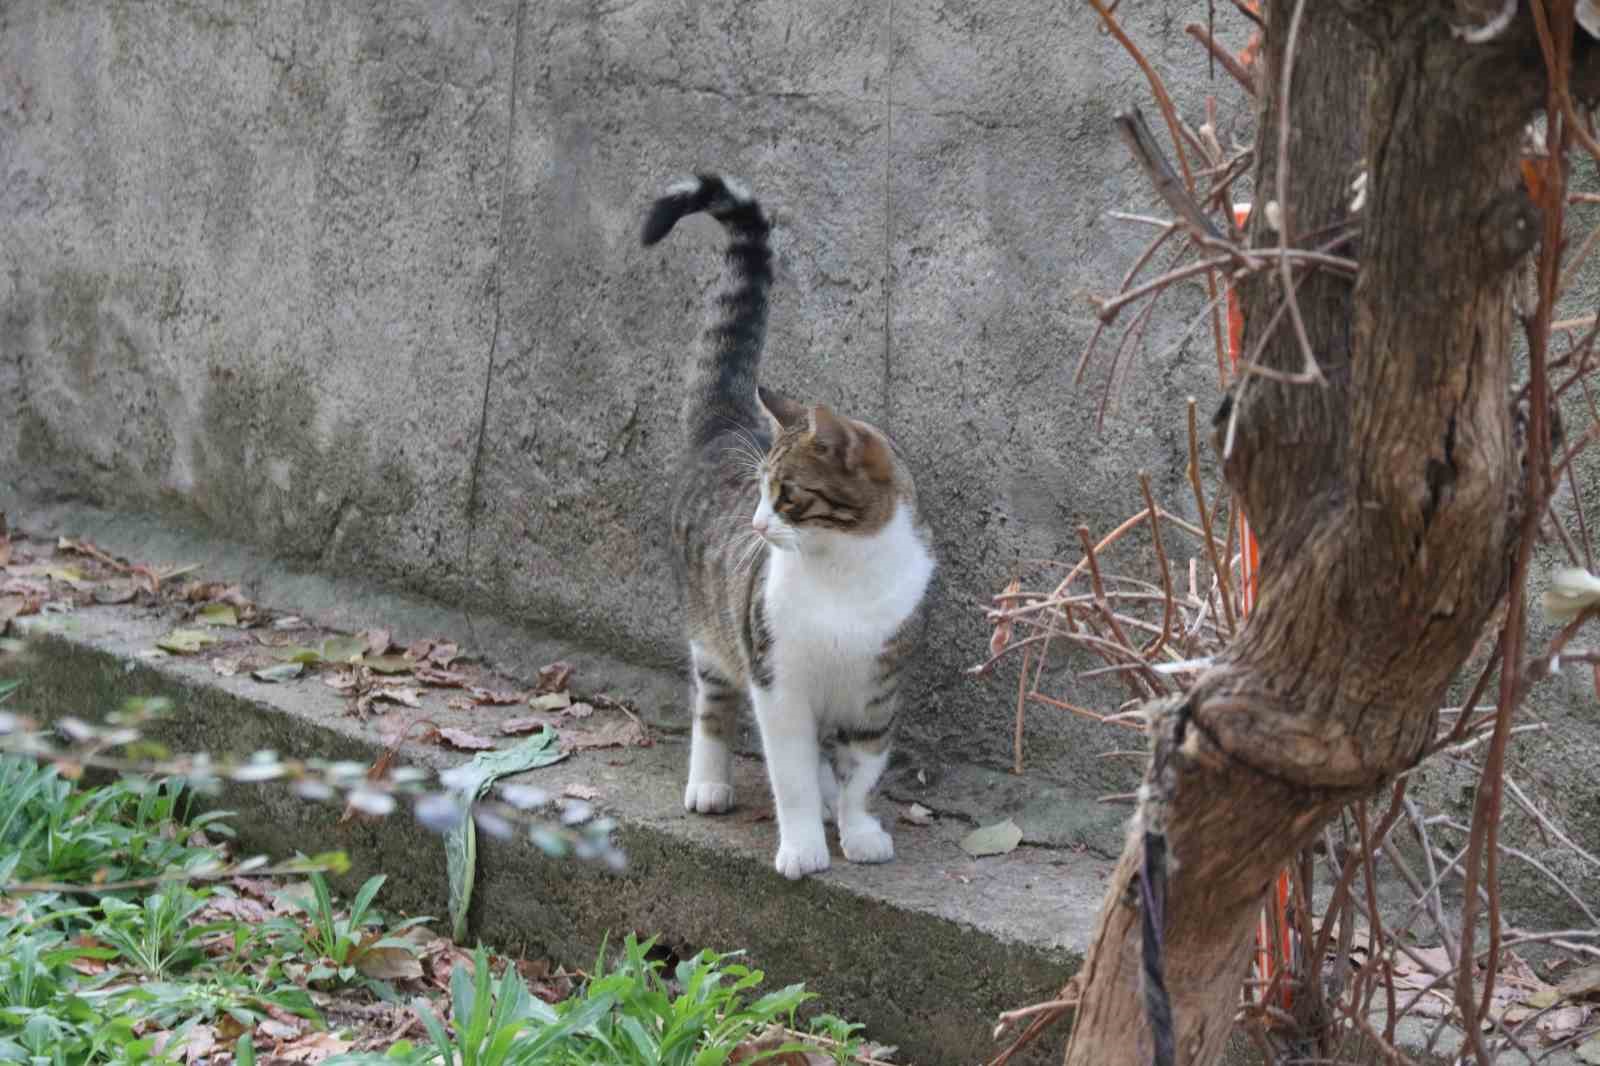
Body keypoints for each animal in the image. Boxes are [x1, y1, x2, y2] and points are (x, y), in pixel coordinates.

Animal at [640, 178, 934, 877]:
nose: (754, 522)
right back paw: (709, 782)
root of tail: (724, 422)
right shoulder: (777, 681)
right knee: (713, 702)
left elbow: (861, 773)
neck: (845, 572)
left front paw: (858, 830)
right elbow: (790, 775)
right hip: (713, 629)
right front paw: (802, 846)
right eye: (759, 492)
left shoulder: (876, 692)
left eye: (787, 495)